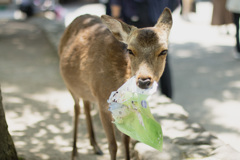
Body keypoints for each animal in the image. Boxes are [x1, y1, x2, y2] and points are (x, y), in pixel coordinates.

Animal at [58, 7, 172, 160]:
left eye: (164, 51)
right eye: (130, 50)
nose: (144, 80)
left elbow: (126, 140)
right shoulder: (102, 102)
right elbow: (113, 145)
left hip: (87, 89)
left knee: (86, 104)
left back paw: (95, 145)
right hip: (69, 84)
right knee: (76, 108)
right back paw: (74, 152)